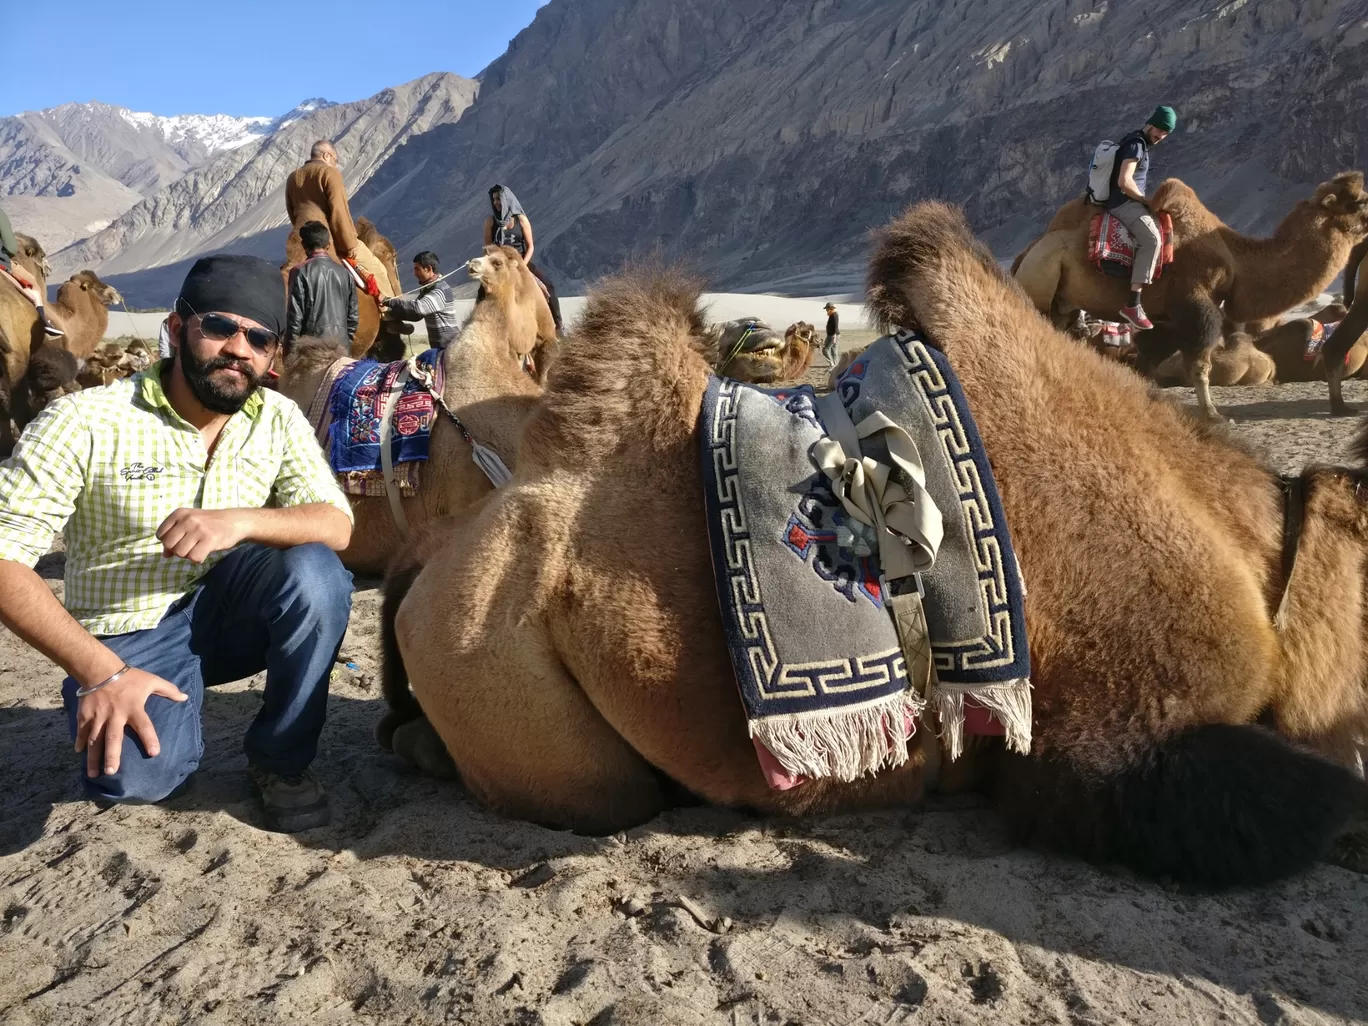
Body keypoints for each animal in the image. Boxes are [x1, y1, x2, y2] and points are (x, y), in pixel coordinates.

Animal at [1017, 175, 1368, 418]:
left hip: (1061, 303)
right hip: (1040, 280)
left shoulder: (1166, 319)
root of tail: (1027, 252)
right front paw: (1214, 415)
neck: (1237, 258)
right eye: (1358, 203)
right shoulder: (1194, 300)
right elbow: (1200, 363)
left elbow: (1148, 364)